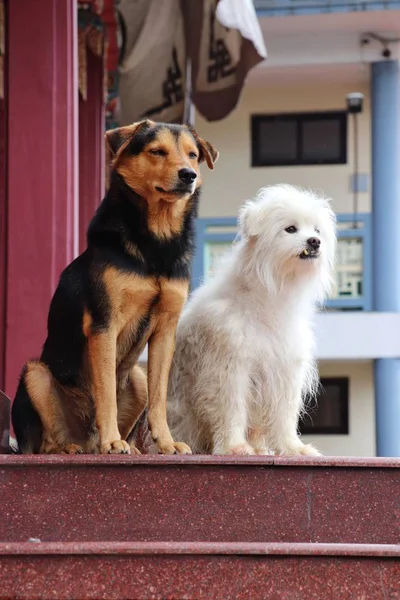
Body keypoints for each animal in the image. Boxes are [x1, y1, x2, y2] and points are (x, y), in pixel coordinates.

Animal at [10, 118, 219, 454]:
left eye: (193, 155)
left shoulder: (165, 332)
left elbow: (159, 399)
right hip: (35, 373)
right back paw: (75, 447)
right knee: (45, 443)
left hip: (137, 376)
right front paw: (112, 440)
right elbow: (106, 390)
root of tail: (86, 440)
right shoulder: (104, 325)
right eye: (157, 151)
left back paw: (129, 446)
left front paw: (167, 443)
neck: (157, 240)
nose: (189, 175)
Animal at [167, 183, 336, 454]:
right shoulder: (230, 365)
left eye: (317, 230)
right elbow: (231, 407)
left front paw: (293, 448)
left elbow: (284, 414)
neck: (269, 297)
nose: (314, 242)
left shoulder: (284, 368)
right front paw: (234, 446)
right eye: (291, 229)